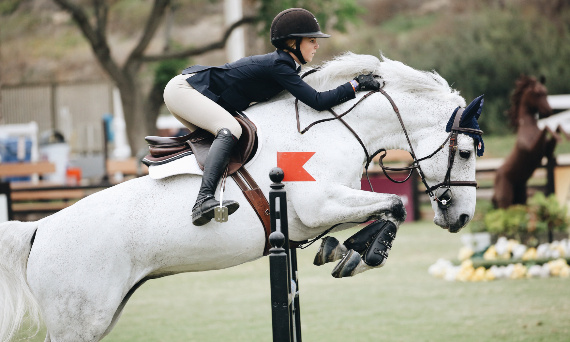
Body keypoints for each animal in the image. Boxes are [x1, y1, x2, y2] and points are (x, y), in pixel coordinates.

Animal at [0, 52, 482, 340]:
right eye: (464, 152)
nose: (460, 218)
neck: (336, 129)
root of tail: (40, 229)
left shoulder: (321, 210)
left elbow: (384, 210)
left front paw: (343, 250)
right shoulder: (317, 204)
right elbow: (395, 205)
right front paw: (359, 254)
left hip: (98, 314)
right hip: (79, 321)